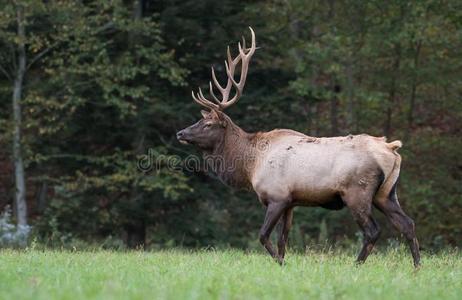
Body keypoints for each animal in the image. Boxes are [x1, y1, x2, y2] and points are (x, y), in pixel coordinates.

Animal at [175, 27, 420, 268]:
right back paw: (417, 267)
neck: (250, 165)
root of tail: (391, 149)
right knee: (407, 223)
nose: (180, 133)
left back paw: (356, 265)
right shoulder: (291, 202)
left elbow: (263, 236)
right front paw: (282, 263)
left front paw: (281, 263)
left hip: (357, 192)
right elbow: (283, 239)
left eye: (208, 124)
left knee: (373, 231)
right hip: (387, 193)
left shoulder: (277, 196)